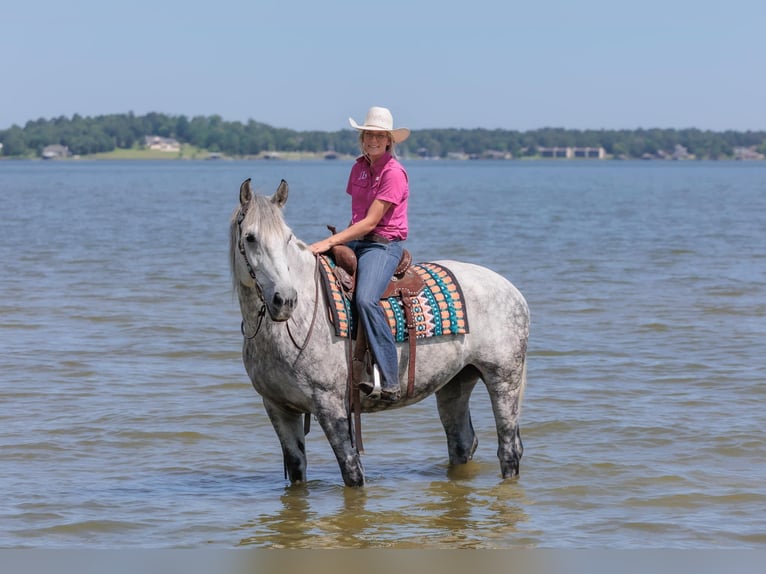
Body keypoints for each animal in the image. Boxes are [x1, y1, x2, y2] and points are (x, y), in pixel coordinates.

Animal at [231, 178, 532, 488]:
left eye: (288, 238)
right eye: (250, 238)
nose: (285, 300)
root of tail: (511, 290)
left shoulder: (331, 406)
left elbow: (352, 471)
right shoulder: (278, 408)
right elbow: (296, 469)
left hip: (503, 378)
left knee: (508, 448)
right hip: (456, 382)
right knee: (462, 443)